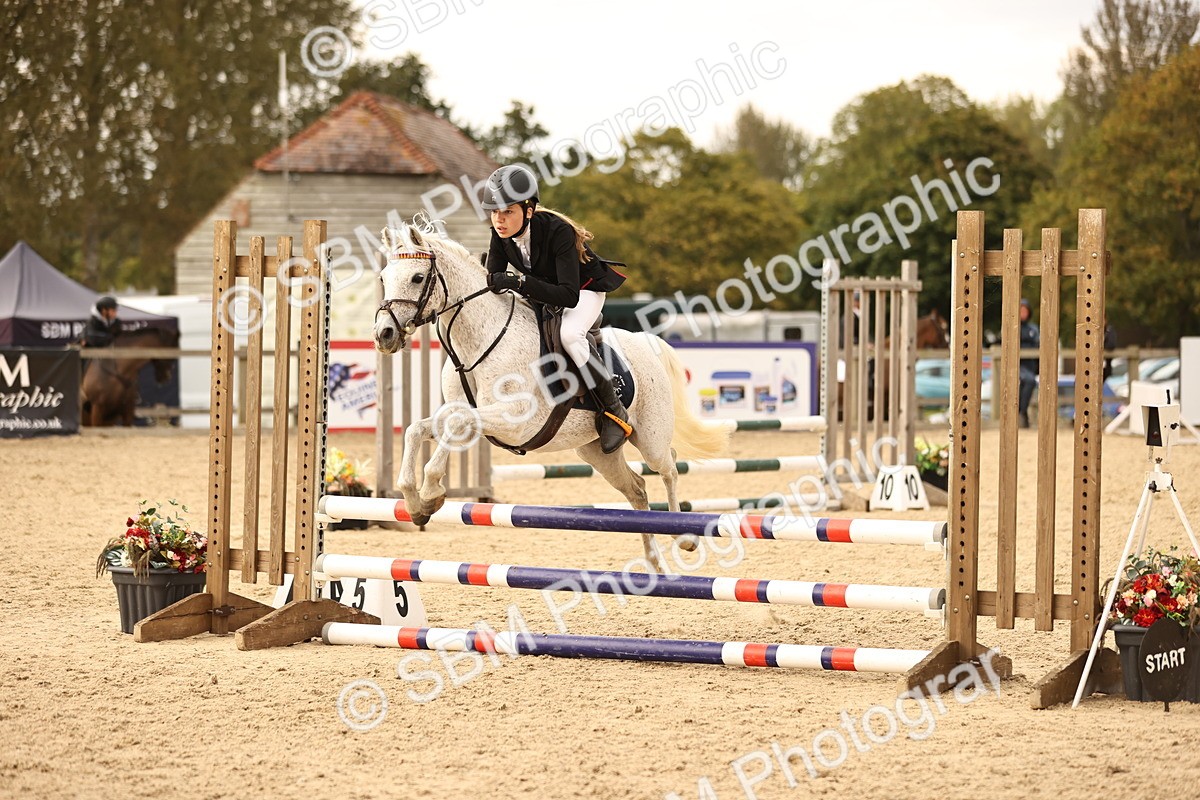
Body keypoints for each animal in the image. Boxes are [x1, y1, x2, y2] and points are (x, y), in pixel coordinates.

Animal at [373, 222, 729, 572]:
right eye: (383, 278)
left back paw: (684, 537)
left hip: (651, 437)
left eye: (417, 278)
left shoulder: (514, 420)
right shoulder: (464, 413)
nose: (383, 335)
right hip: (596, 451)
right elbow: (417, 429)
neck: (478, 343)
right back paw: (654, 563)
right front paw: (416, 505)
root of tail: (645, 340)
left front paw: (432, 492)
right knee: (637, 489)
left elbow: (455, 427)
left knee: (669, 469)